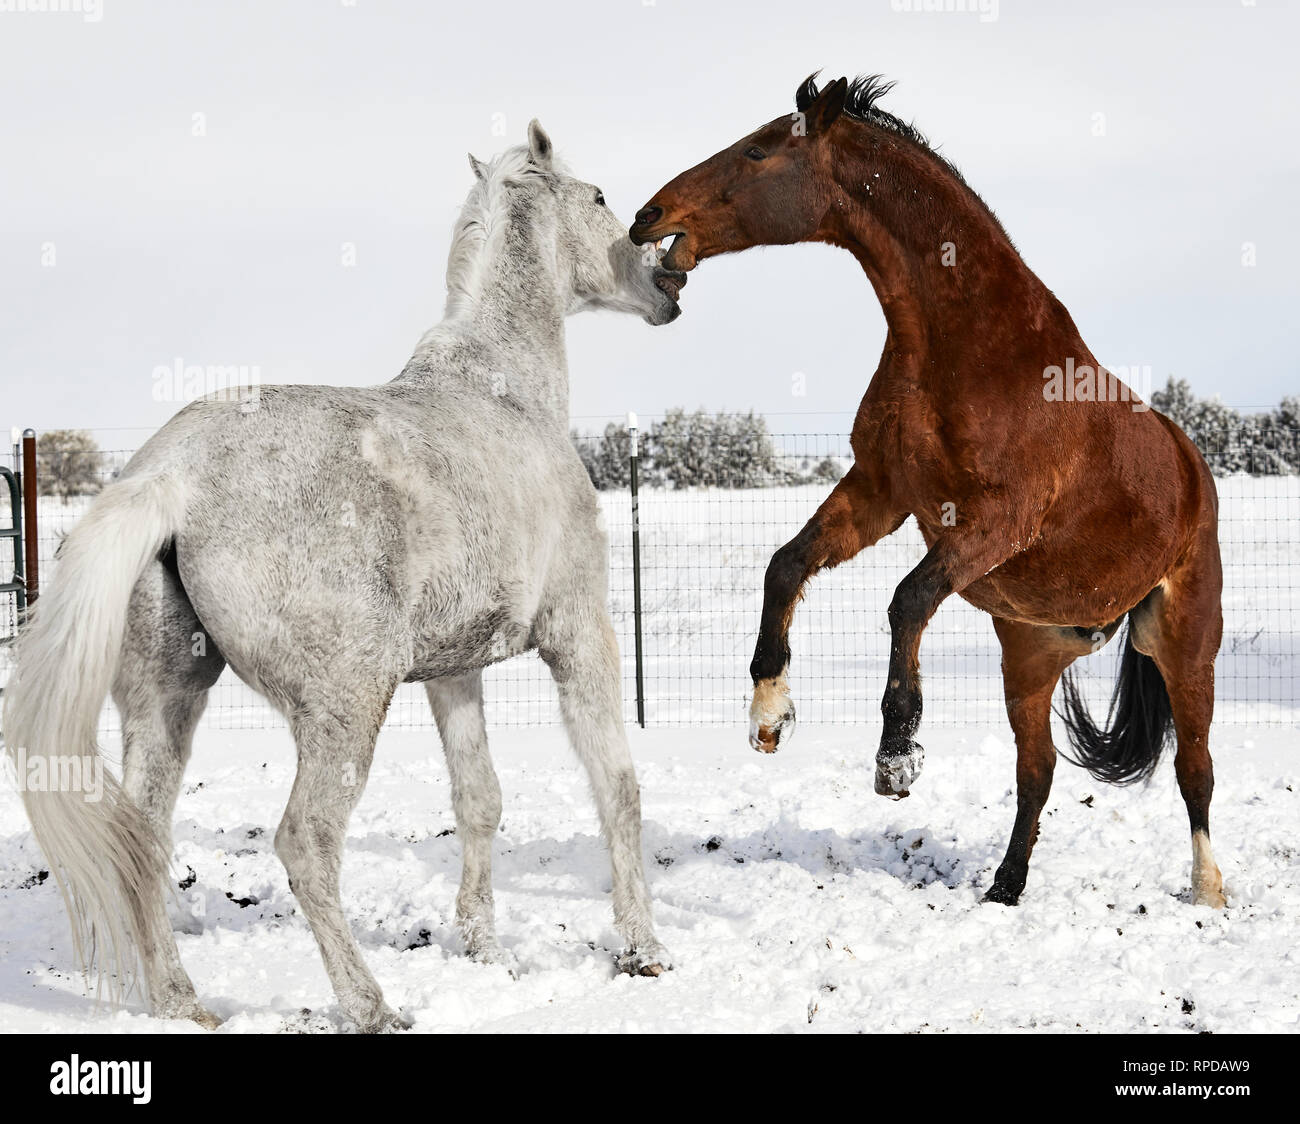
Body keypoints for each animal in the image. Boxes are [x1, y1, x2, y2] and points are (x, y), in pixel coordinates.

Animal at [3, 121, 685, 1031]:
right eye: (603, 197)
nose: (666, 282)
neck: (505, 395)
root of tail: (171, 475)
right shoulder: (578, 635)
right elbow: (618, 786)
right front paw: (643, 949)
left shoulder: (456, 669)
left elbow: (480, 798)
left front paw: (484, 947)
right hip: (346, 705)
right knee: (305, 841)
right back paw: (370, 1005)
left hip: (170, 699)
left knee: (142, 837)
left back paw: (183, 1001)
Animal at [630, 75, 1225, 910]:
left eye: (757, 149)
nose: (648, 217)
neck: (965, 343)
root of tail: (1189, 463)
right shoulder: (880, 490)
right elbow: (786, 564)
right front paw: (769, 713)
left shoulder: (996, 519)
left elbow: (907, 599)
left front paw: (897, 755)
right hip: (1029, 656)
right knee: (1037, 772)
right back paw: (1004, 889)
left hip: (1184, 639)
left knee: (1193, 770)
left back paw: (1208, 890)